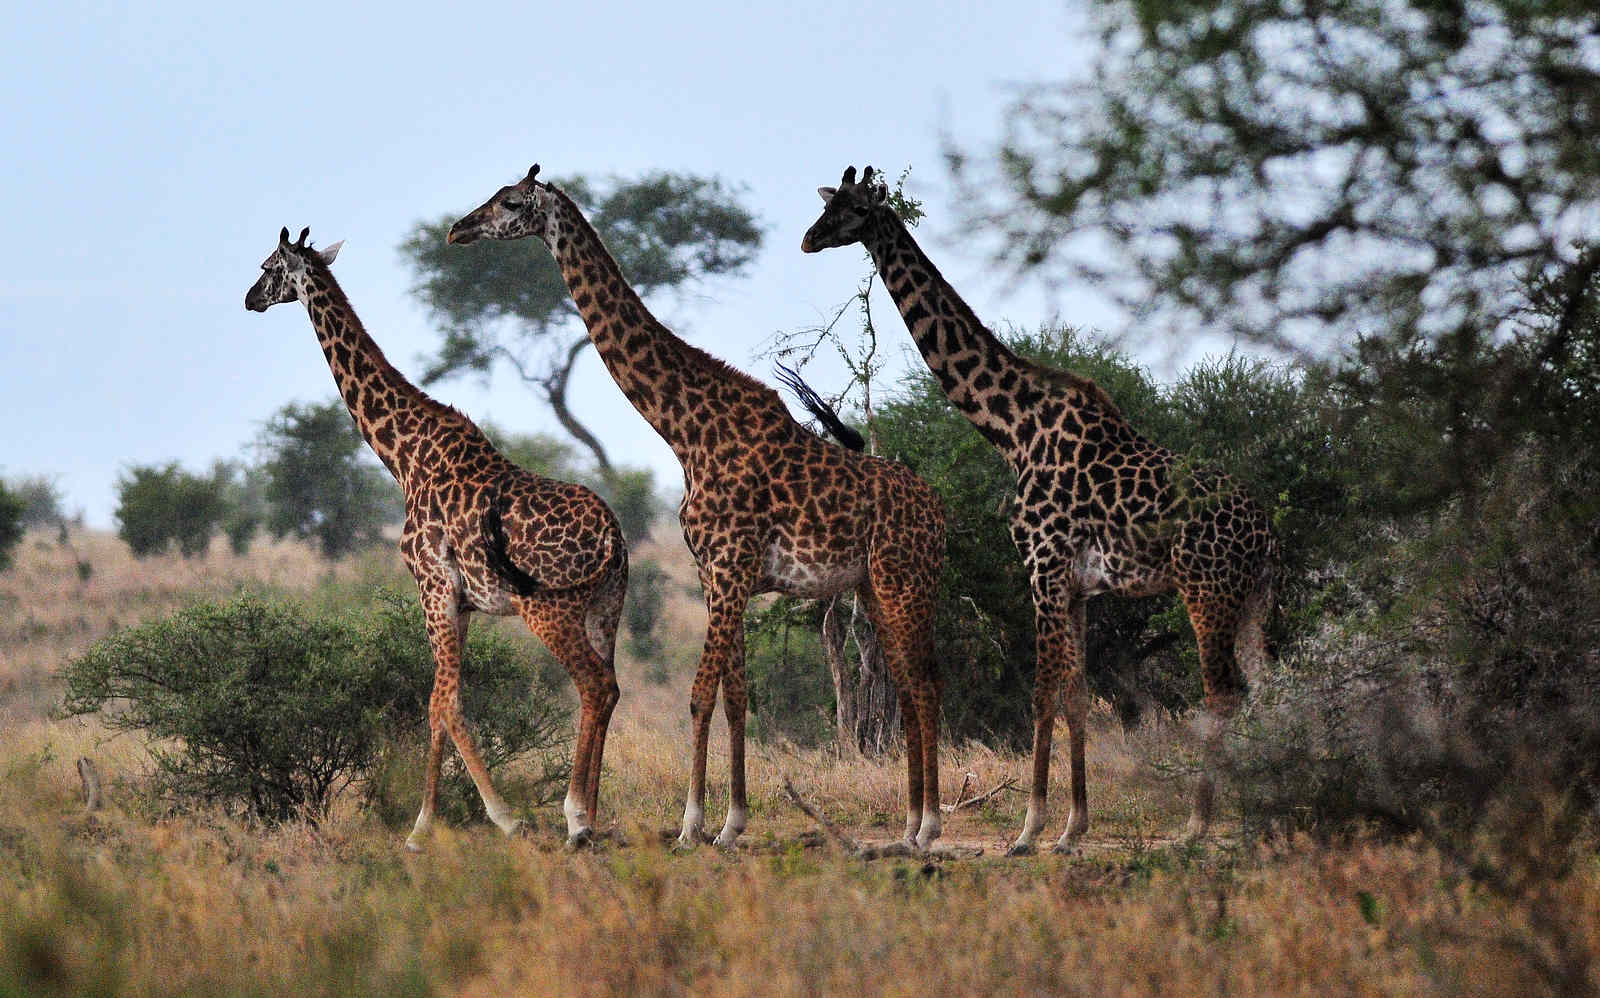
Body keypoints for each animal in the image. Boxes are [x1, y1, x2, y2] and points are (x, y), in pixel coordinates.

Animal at [246, 225, 627, 850]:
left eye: (268, 266)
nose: (249, 299)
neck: (402, 455)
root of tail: (614, 539)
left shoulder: (433, 588)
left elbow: (441, 703)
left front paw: (448, 824)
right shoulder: (462, 601)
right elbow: (445, 702)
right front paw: (436, 822)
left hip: (550, 609)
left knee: (593, 685)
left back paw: (575, 817)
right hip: (606, 607)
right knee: (611, 687)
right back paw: (590, 815)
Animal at [451, 165, 947, 850]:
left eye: (509, 202)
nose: (457, 230)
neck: (684, 430)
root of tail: (941, 514)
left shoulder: (731, 565)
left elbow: (699, 693)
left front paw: (692, 825)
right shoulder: (717, 572)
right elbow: (736, 694)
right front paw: (732, 822)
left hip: (905, 580)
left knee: (924, 682)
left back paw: (928, 825)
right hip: (874, 586)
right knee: (906, 680)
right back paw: (910, 823)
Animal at [806, 165, 1280, 850]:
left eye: (852, 210)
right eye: (827, 203)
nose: (808, 240)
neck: (1012, 428)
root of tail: (1267, 533)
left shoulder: (1043, 565)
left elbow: (1040, 692)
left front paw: (1029, 829)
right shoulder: (1080, 586)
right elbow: (1077, 695)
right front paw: (1073, 826)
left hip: (1206, 589)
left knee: (1222, 692)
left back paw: (1197, 826)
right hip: (1253, 597)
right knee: (1269, 685)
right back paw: (1270, 808)